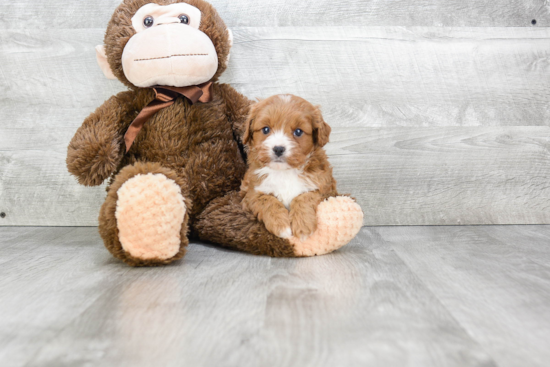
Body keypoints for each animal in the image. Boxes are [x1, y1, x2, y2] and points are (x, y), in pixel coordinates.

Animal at [243, 93, 338, 240]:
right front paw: (281, 226)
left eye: (298, 132)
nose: (278, 149)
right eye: (266, 129)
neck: (284, 172)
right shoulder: (251, 193)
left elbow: (304, 197)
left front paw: (303, 227)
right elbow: (267, 200)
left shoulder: (325, 189)